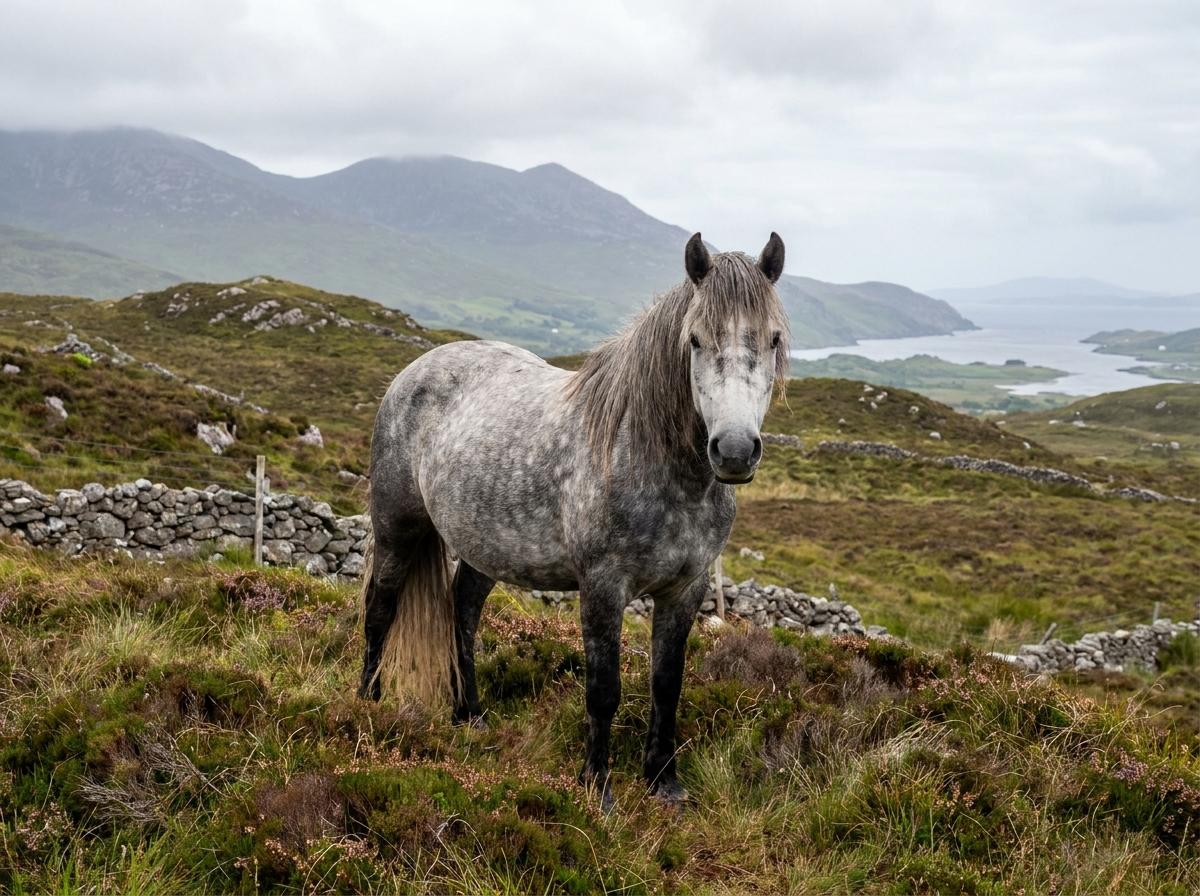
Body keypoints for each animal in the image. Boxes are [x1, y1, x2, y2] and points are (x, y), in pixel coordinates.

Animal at [358, 232, 789, 808]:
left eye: (773, 340)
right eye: (695, 340)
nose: (735, 451)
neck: (655, 462)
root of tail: (416, 370)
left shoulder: (688, 588)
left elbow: (667, 683)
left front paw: (663, 781)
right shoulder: (603, 585)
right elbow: (603, 689)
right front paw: (598, 787)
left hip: (485, 548)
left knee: (463, 613)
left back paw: (469, 715)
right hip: (397, 528)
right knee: (379, 611)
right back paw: (366, 703)